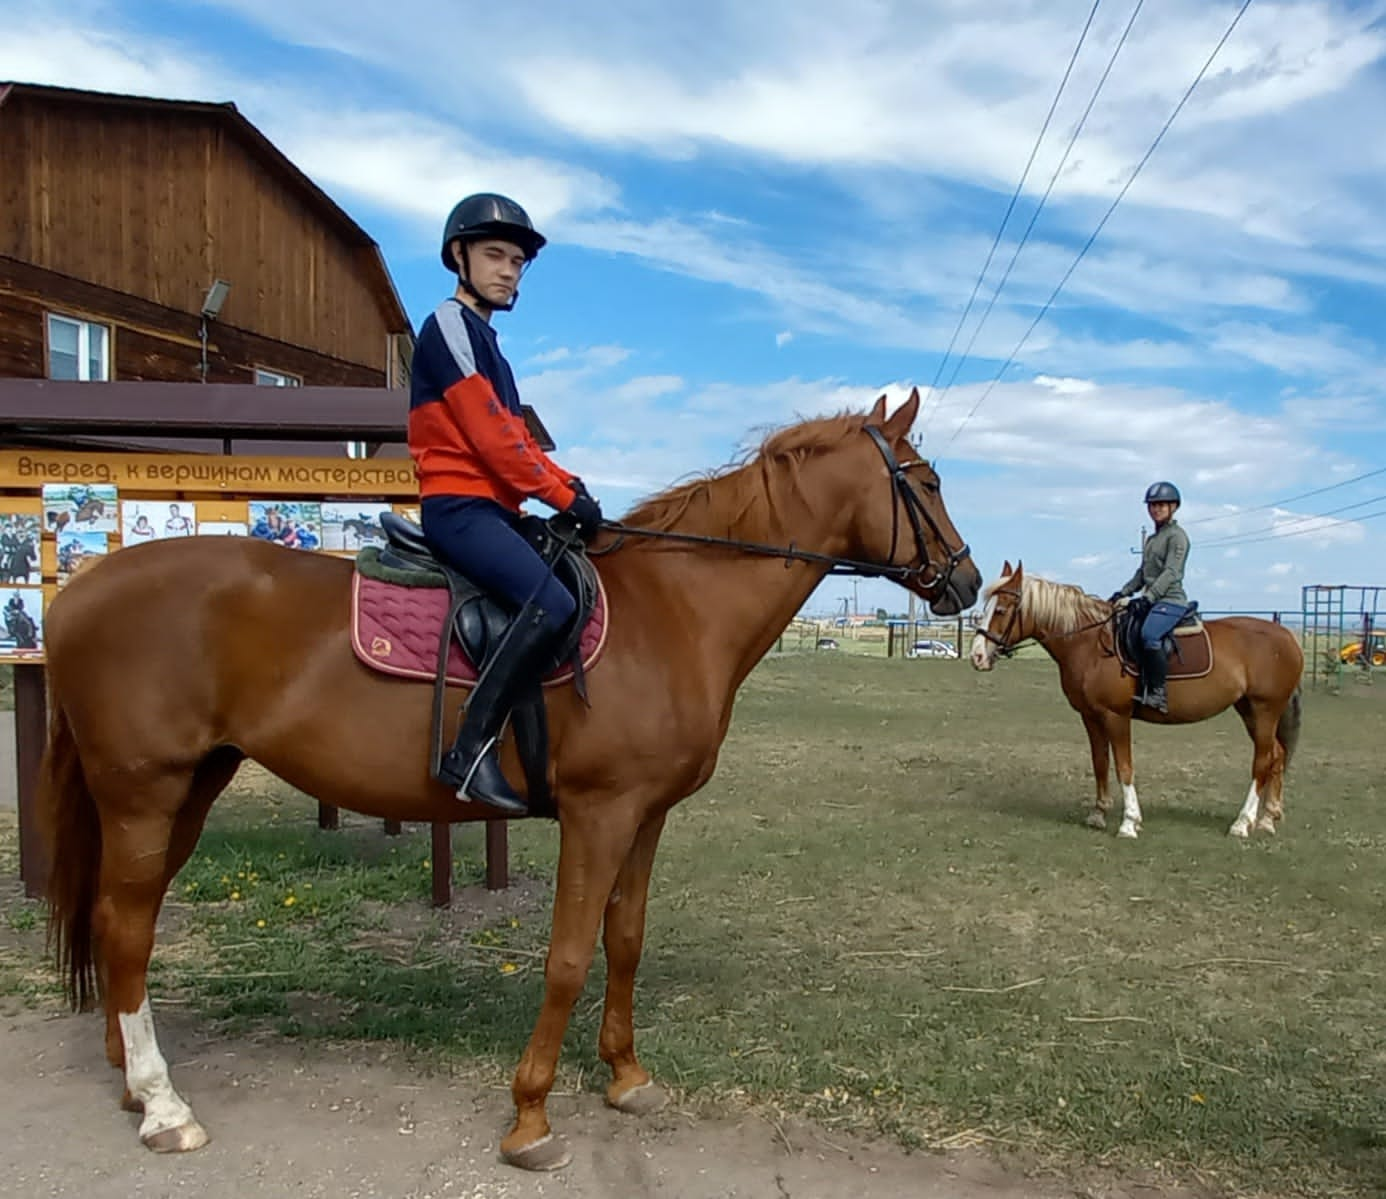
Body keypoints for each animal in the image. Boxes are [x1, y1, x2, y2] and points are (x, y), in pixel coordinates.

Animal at [37, 390, 981, 1169]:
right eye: (927, 481)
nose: (967, 578)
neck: (674, 607)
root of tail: (78, 589)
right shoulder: (598, 815)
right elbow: (566, 956)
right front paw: (530, 1116)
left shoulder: (646, 816)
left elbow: (625, 939)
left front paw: (626, 1075)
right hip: (145, 791)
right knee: (127, 924)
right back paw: (164, 1106)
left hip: (190, 786)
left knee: (123, 920)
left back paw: (133, 1078)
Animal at [970, 559, 1302, 842]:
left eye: (1001, 610)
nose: (977, 656)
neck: (1092, 645)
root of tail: (1287, 636)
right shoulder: (1090, 716)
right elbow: (1100, 762)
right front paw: (1099, 813)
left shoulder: (1115, 715)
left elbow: (1123, 766)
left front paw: (1129, 822)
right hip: (1249, 710)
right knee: (1277, 755)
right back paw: (1267, 819)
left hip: (1265, 709)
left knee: (1263, 760)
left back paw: (1242, 823)